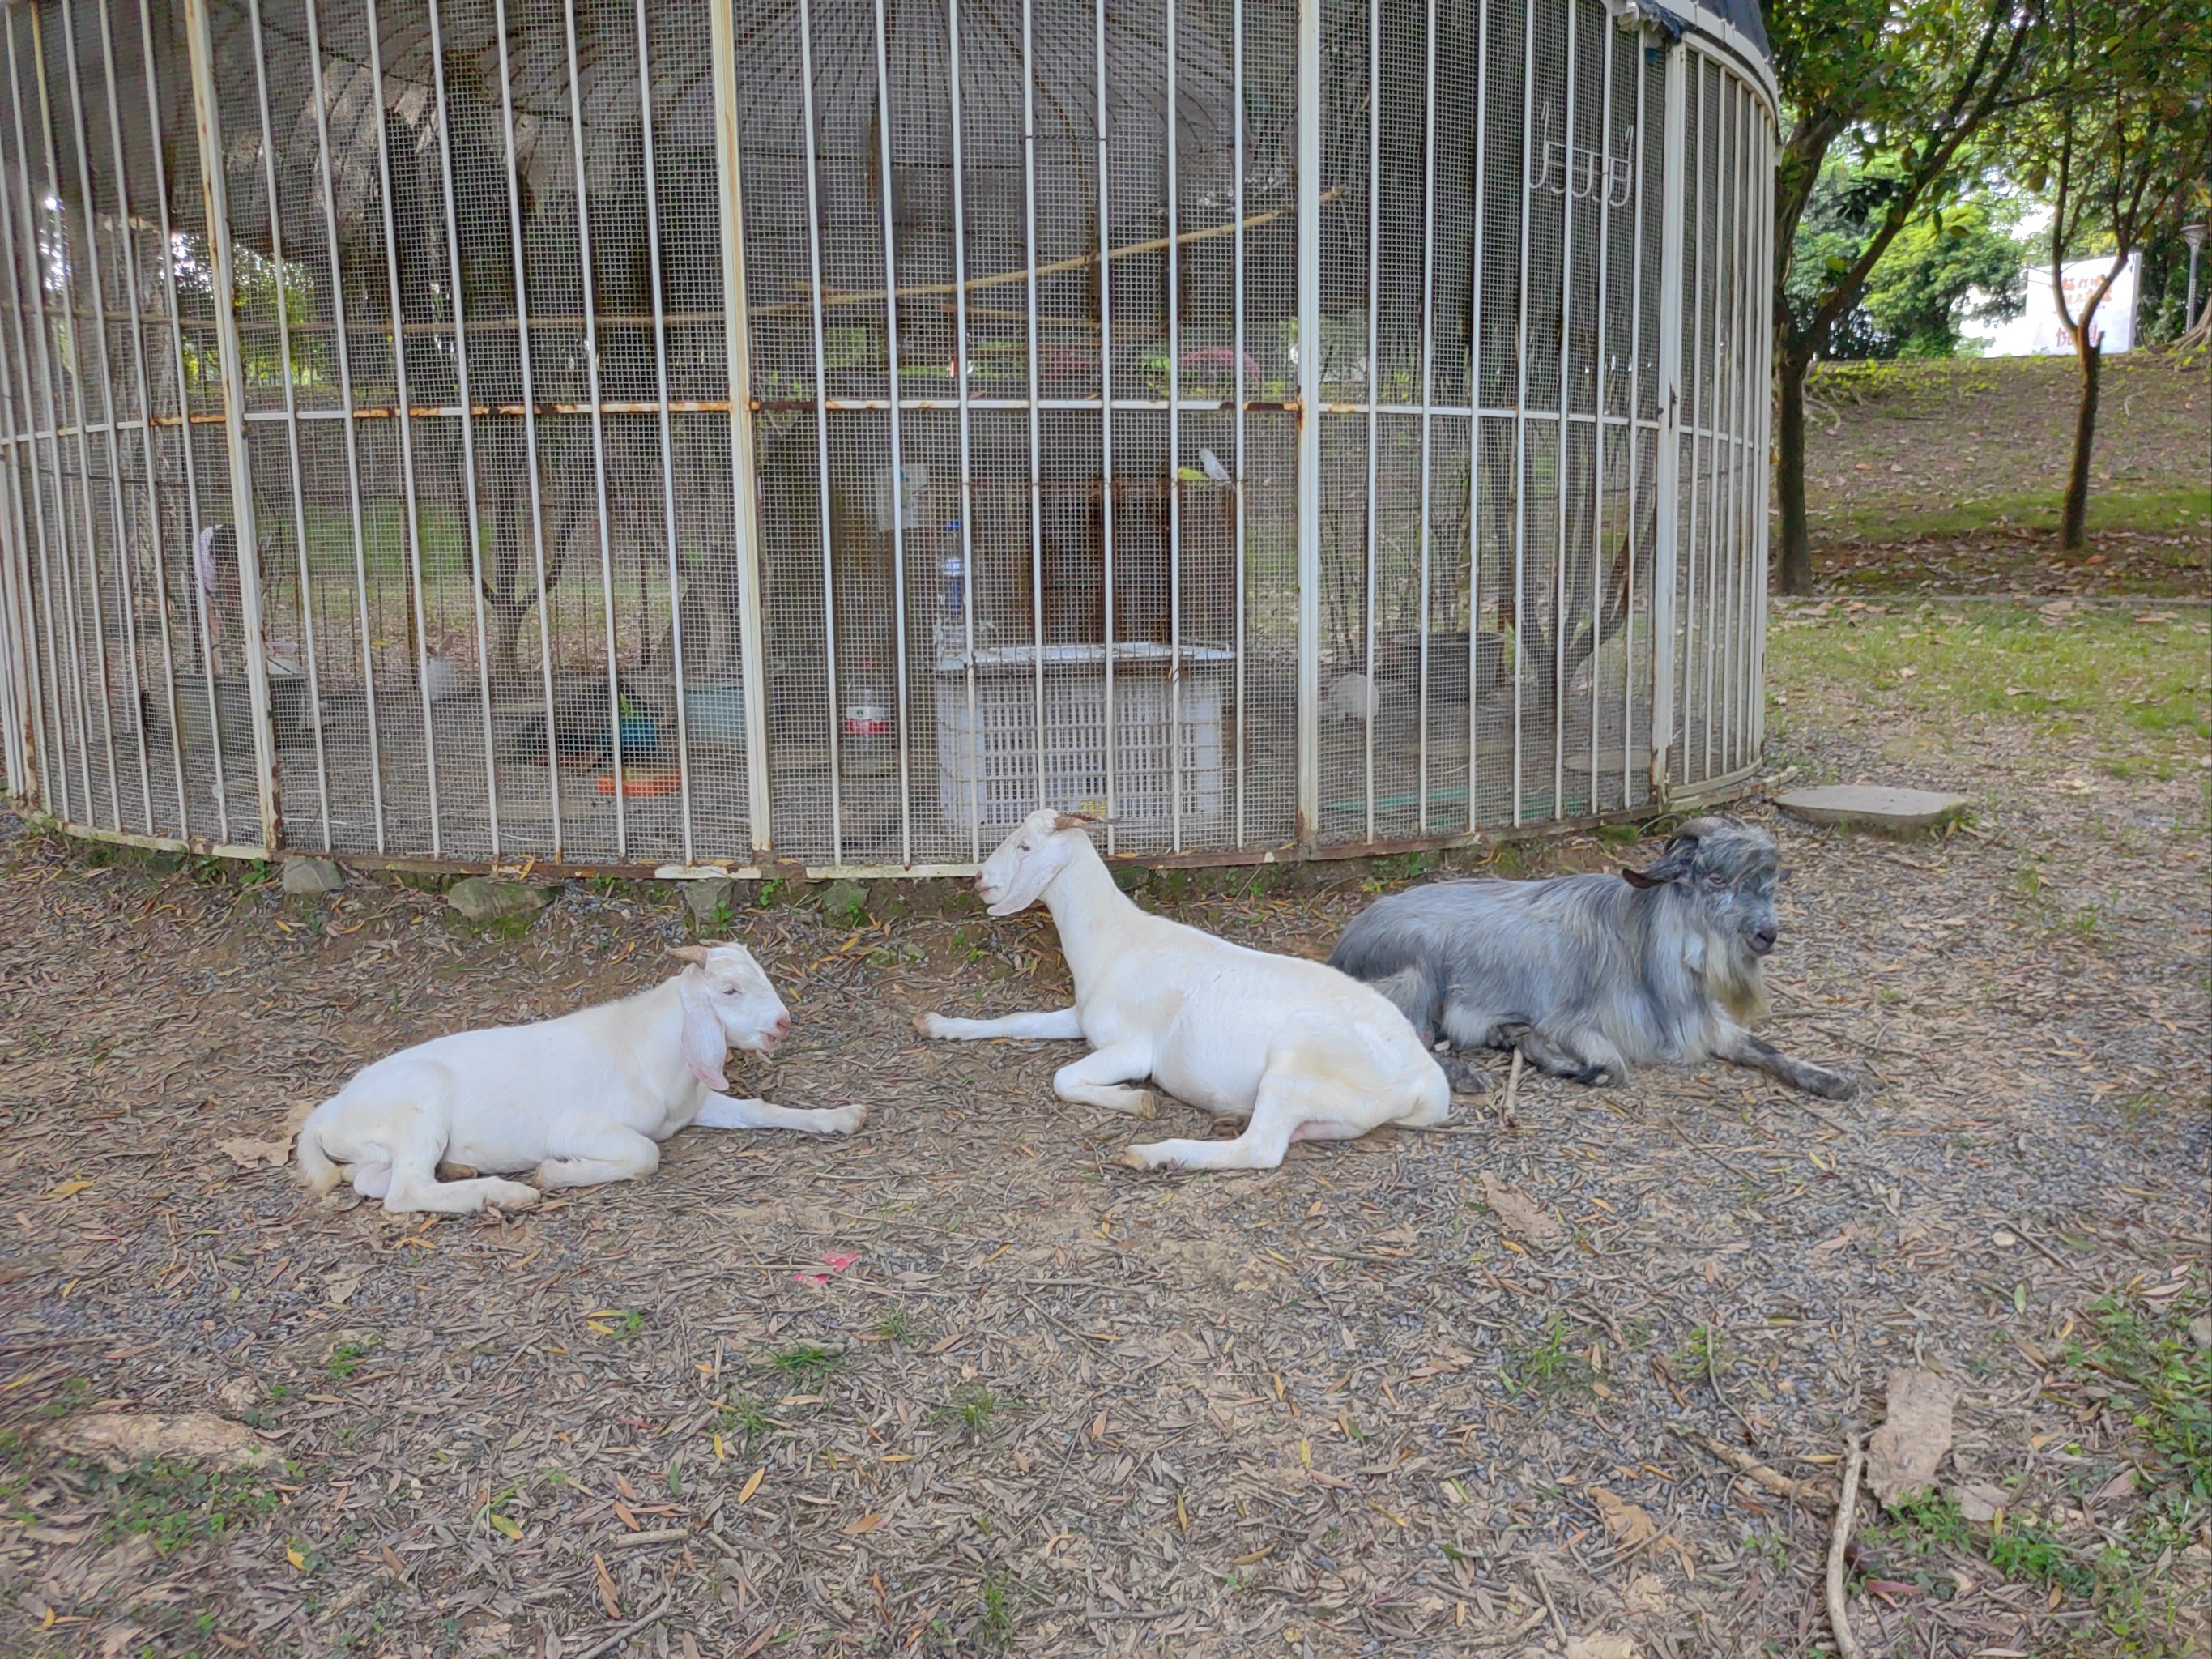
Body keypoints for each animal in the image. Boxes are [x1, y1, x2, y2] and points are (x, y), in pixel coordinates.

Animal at [300, 942, 863, 1212]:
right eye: (729, 990)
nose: (782, 1023)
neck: (648, 1051)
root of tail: (324, 1114)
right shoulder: (580, 1128)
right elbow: (646, 1154)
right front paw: (554, 1173)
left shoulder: (698, 1105)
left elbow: (758, 1110)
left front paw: (841, 1117)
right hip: (419, 1106)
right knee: (404, 1192)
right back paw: (505, 1195)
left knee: (373, 1181)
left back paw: (462, 1172)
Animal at [915, 804, 1451, 1167]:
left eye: (1026, 847)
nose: (980, 879)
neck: (1115, 942)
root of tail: (1427, 1080)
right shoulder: (1083, 1018)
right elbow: (1020, 1020)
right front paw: (939, 1025)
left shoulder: (1132, 1049)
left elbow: (1064, 1080)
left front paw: (1137, 1101)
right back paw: (1228, 1117)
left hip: (1296, 1067)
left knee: (1261, 1149)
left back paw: (1155, 1154)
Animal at [1318, 818, 1858, 1106]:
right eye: (1716, 879)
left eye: (1771, 883)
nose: (1767, 934)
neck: (1641, 950)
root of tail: (1343, 948)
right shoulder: (1575, 1022)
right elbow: (1609, 1068)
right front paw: (1535, 1047)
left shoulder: (1707, 1026)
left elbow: (1762, 1046)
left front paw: (1833, 1080)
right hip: (1414, 977)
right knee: (1405, 1046)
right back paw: (1471, 1072)